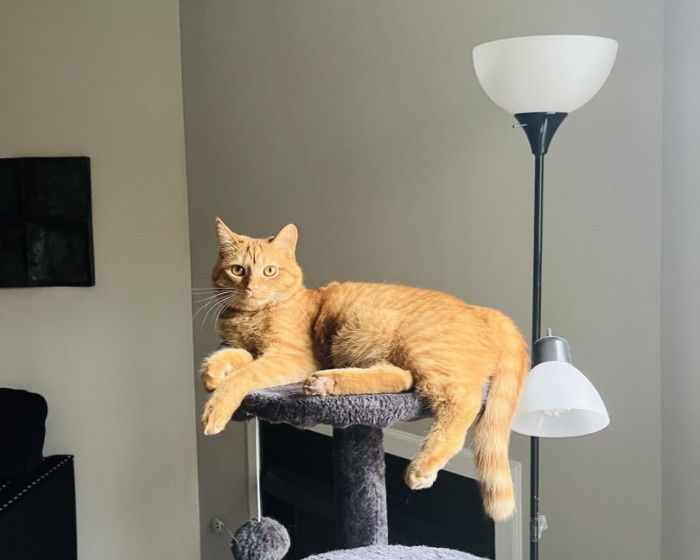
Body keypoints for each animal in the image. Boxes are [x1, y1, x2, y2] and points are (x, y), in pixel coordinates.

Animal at [199, 218, 529, 521]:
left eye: (270, 271)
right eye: (238, 270)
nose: (251, 288)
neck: (251, 318)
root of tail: (484, 311)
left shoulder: (292, 358)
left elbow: (244, 376)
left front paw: (216, 408)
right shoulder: (250, 349)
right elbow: (233, 356)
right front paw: (212, 371)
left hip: (415, 348)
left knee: (461, 401)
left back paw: (423, 466)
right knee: (401, 378)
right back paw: (326, 383)